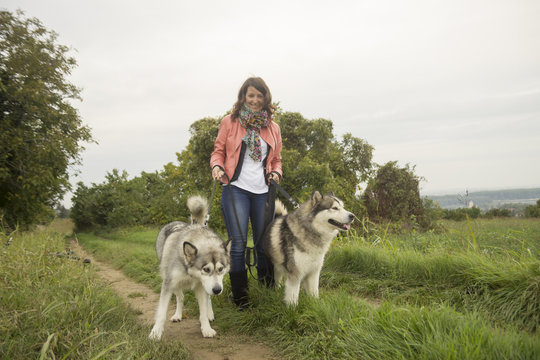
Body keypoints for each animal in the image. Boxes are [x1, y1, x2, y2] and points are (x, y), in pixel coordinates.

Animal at [149, 195, 231, 338]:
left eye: (221, 269)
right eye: (206, 269)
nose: (217, 290)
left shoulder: (202, 287)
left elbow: (203, 310)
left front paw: (206, 328)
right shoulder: (168, 284)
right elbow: (161, 313)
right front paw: (156, 332)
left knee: (208, 299)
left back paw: (210, 314)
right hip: (171, 280)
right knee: (180, 297)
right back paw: (178, 315)